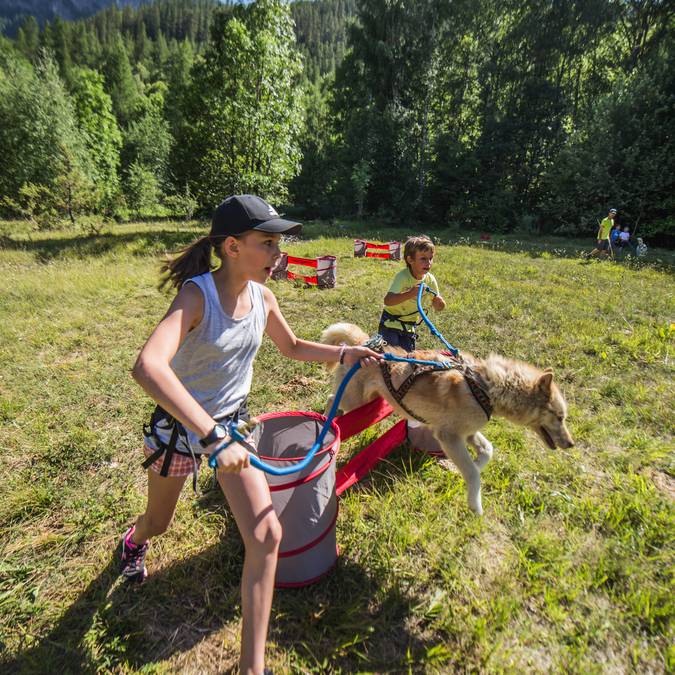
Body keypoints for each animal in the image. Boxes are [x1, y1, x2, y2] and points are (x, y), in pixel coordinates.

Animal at [324, 324, 576, 516]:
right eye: (560, 417)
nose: (571, 444)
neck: (485, 387)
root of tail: (364, 344)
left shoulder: (469, 432)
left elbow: (487, 451)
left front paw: (476, 465)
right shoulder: (449, 437)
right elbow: (472, 473)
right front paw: (476, 506)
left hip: (369, 401)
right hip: (353, 401)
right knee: (331, 399)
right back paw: (327, 424)